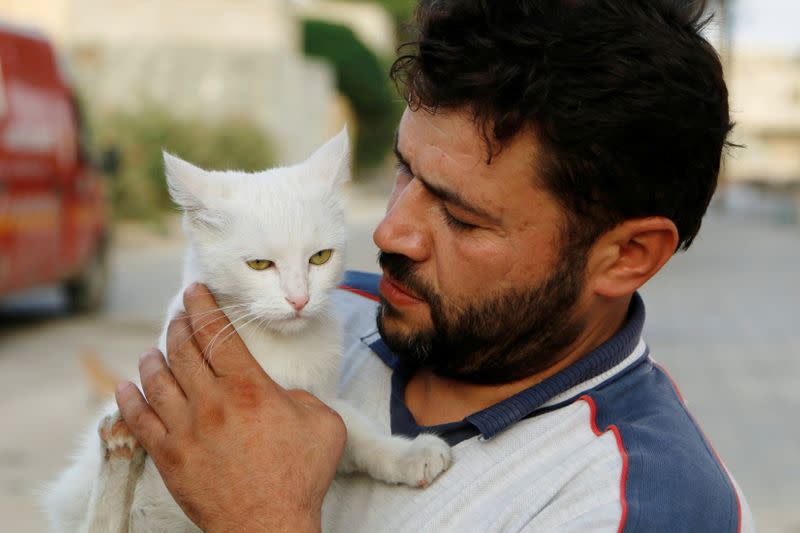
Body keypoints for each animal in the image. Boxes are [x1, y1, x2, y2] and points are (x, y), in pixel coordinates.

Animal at [42, 130, 450, 532]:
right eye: (259, 264)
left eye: (320, 257)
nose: (299, 299)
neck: (276, 345)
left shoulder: (317, 401)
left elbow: (354, 427)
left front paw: (406, 453)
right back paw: (118, 451)